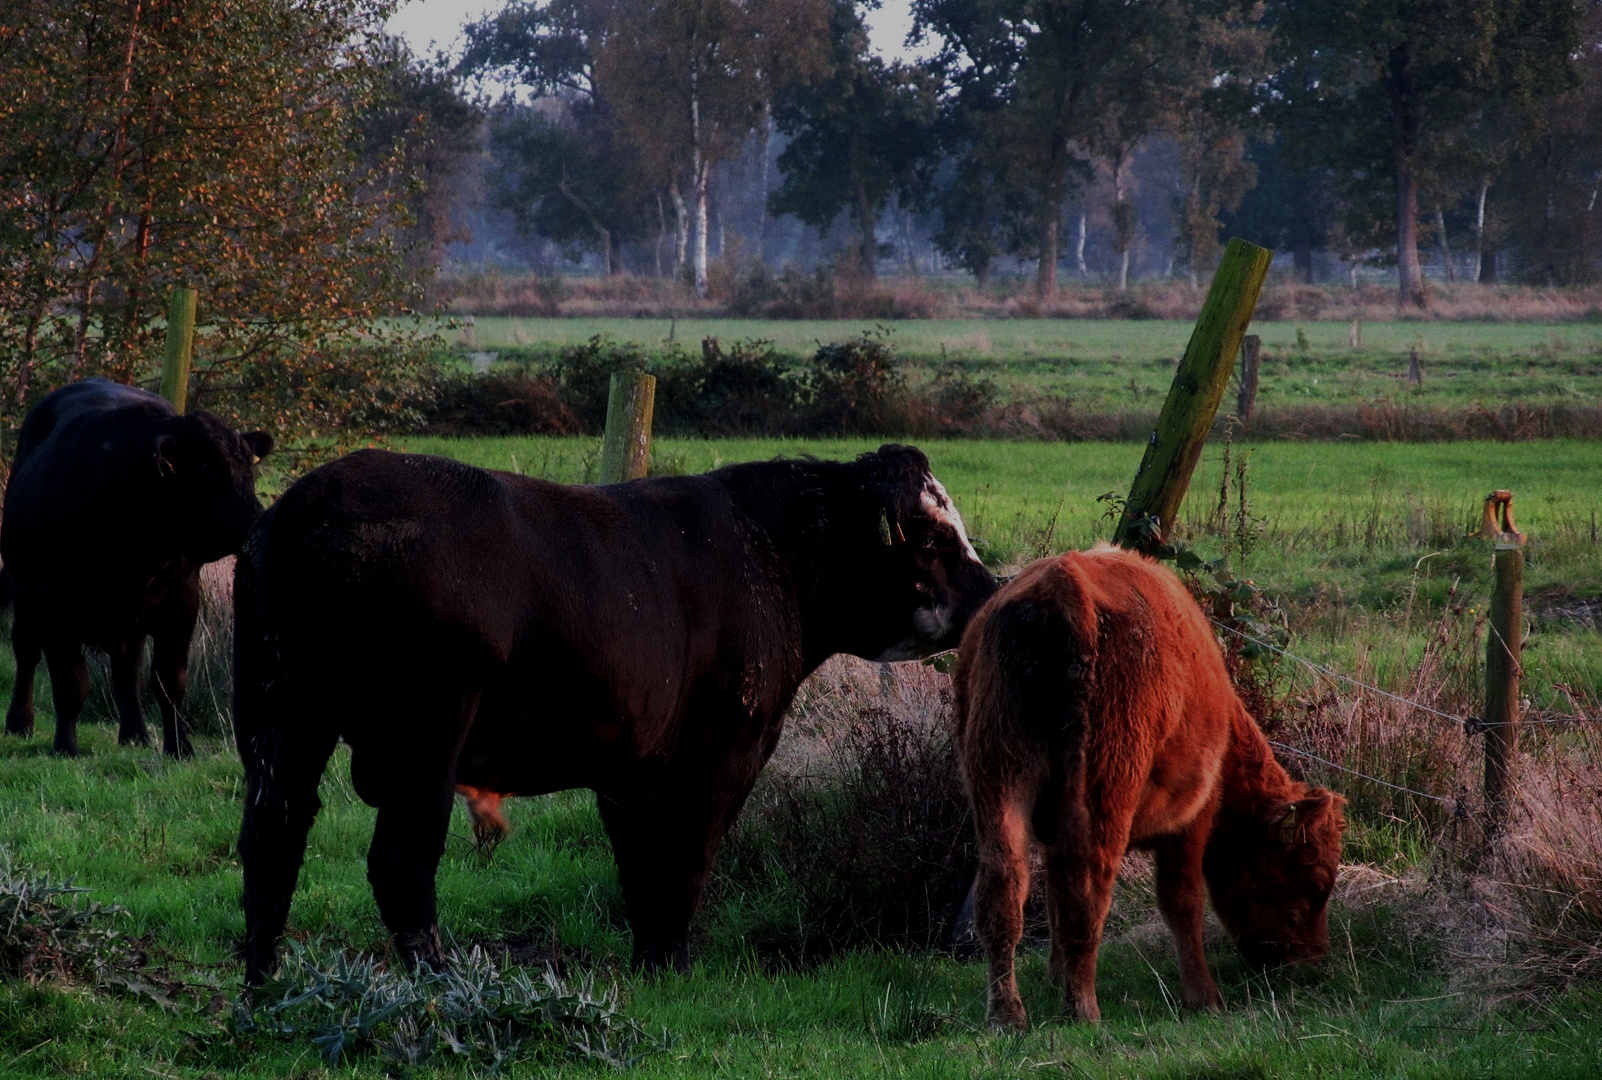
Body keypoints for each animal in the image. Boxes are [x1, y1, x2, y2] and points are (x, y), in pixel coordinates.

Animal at [1, 378, 270, 756]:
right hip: (22, 590)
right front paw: (65, 746)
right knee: (26, 651)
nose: (257, 522)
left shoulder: (181, 600)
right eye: (204, 469)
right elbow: (71, 681)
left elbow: (170, 680)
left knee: (127, 666)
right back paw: (19, 723)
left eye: (249, 466)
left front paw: (179, 747)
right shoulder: (54, 604)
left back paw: (135, 734)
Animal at [233, 442, 999, 980]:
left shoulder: (629, 766)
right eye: (931, 538)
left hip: (281, 725)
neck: (771, 552)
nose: (991, 592)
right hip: (422, 742)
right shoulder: (725, 752)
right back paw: (439, 983)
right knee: (401, 862)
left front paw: (650, 965)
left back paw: (264, 986)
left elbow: (641, 869)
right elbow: (687, 858)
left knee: (272, 842)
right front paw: (676, 966)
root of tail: (316, 494)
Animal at [954, 548, 1345, 1025]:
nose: (1312, 960)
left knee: (1003, 886)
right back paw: (1083, 1010)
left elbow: (1052, 897)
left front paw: (1053, 976)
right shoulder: (1194, 815)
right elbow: (1183, 900)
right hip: (1103, 788)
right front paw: (1203, 997)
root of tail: (1064, 584)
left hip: (998, 776)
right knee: (1086, 890)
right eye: (1315, 881)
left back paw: (1008, 1015)